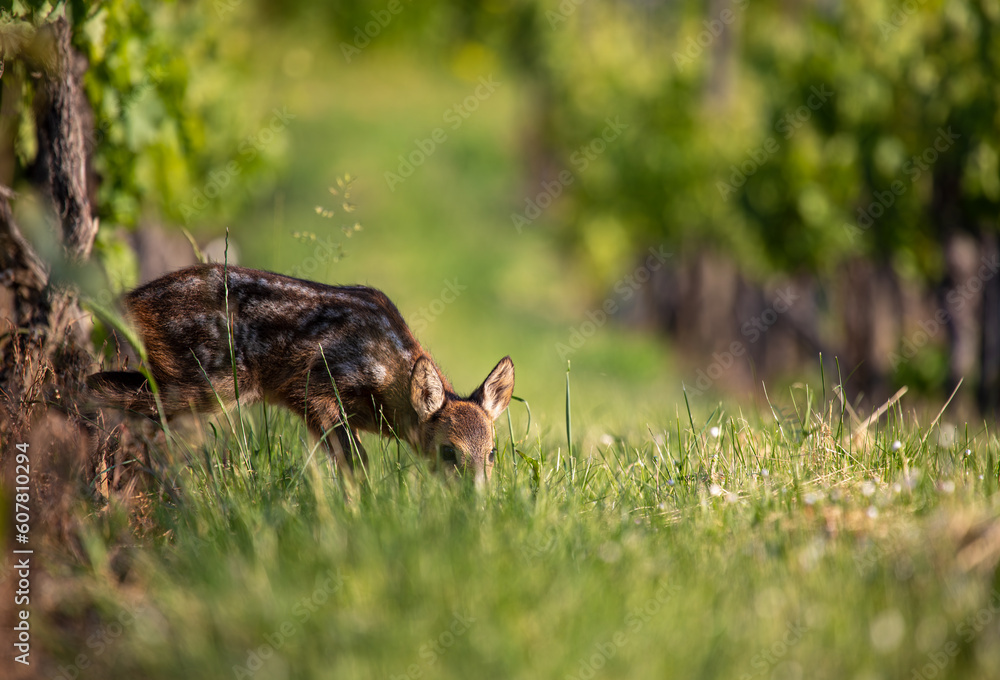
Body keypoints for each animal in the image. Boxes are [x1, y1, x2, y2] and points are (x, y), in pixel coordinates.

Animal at [88, 264, 516, 484]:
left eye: (492, 452)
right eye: (448, 451)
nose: (477, 501)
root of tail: (131, 301)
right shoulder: (315, 388)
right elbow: (356, 462)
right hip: (205, 378)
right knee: (97, 384)